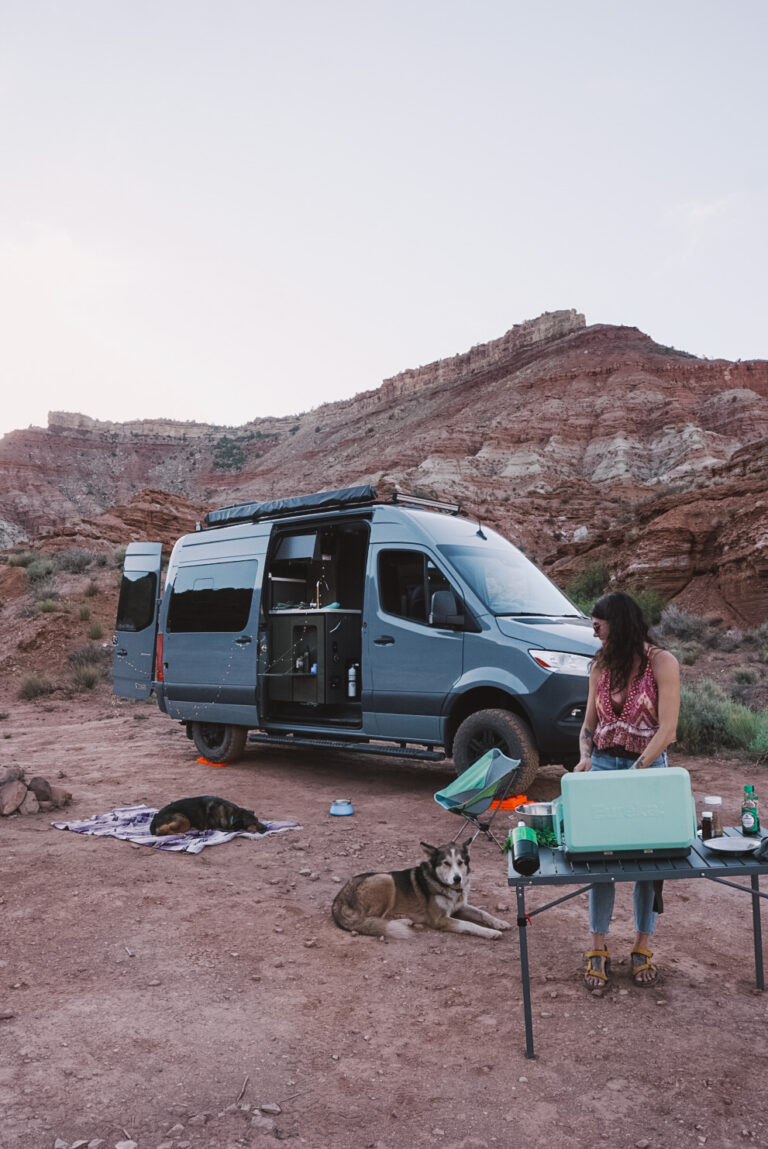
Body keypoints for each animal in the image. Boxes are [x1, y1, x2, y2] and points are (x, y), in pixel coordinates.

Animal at [331, 841, 510, 937]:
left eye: (461, 862)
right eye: (446, 863)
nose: (457, 878)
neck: (444, 884)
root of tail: (340, 895)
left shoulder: (460, 907)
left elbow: (482, 913)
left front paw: (499, 923)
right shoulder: (439, 920)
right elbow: (469, 924)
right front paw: (490, 933)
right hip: (385, 879)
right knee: (370, 920)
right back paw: (402, 921)